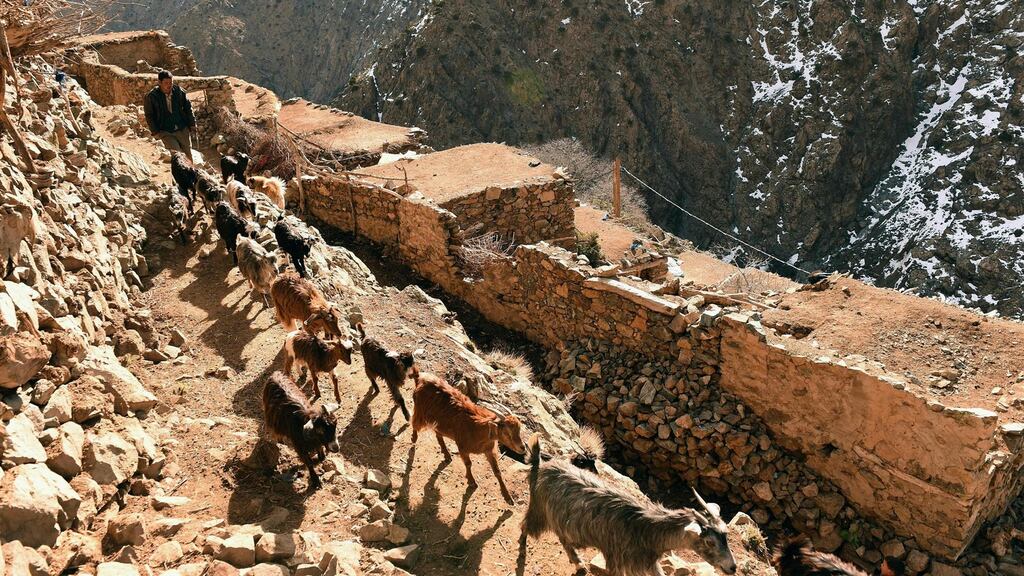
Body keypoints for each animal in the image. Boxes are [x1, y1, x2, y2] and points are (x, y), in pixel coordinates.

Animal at [411, 371, 525, 504]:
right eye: (507, 432)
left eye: (519, 430)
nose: (523, 448)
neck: (478, 430)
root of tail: (421, 379)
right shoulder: (463, 447)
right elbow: (468, 464)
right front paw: (471, 482)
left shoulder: (489, 450)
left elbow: (497, 471)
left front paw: (508, 497)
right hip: (420, 412)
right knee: (414, 423)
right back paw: (414, 439)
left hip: (439, 423)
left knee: (438, 434)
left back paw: (447, 455)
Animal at [520, 434, 737, 576]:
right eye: (710, 542)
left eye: (726, 536)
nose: (732, 568)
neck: (644, 528)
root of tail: (540, 465)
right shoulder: (619, 559)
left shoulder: (647, 562)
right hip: (539, 508)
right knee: (525, 525)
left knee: (563, 537)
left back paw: (579, 563)